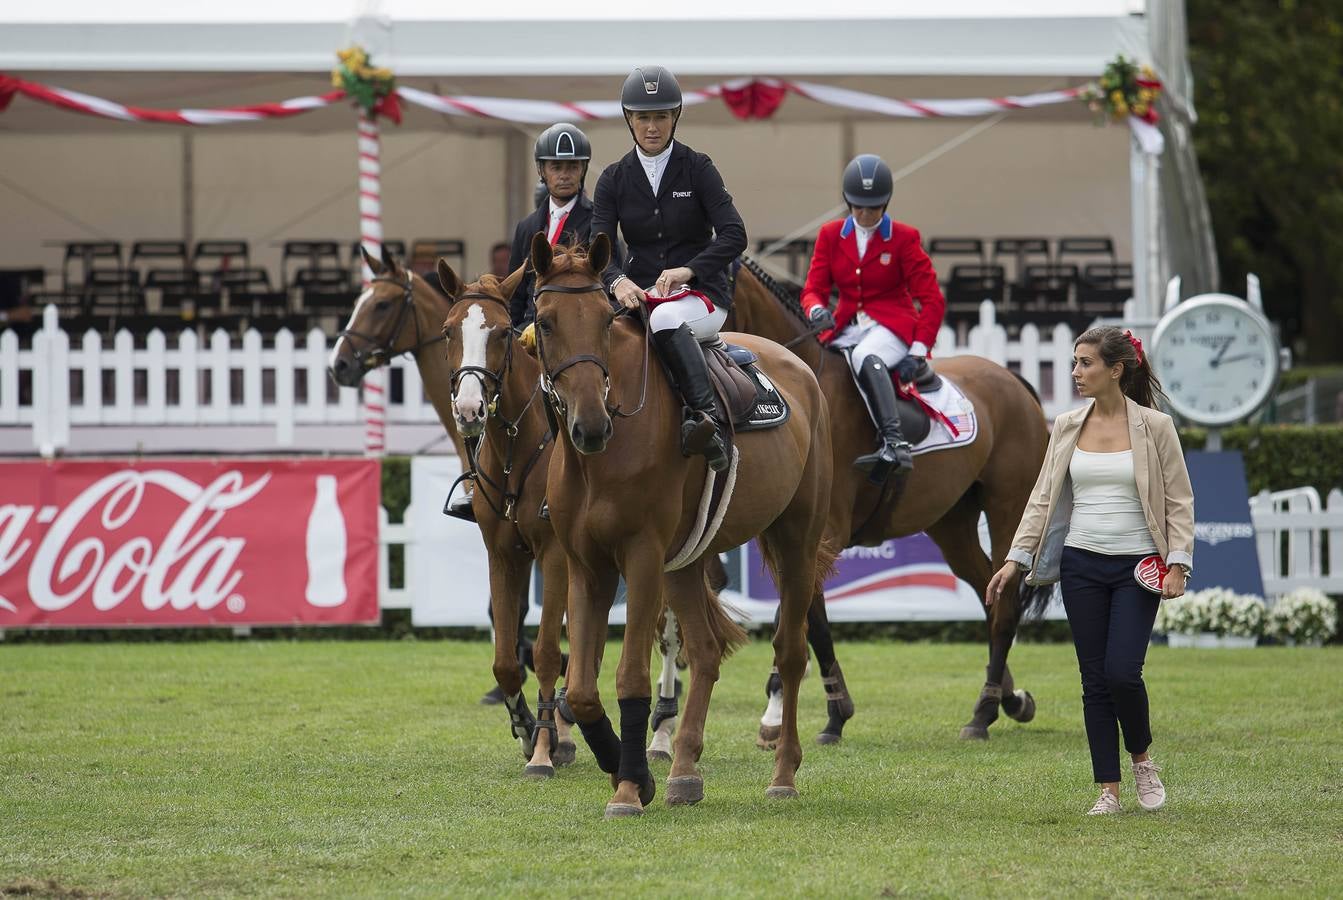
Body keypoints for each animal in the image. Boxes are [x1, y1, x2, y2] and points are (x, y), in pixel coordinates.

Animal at [327, 248, 574, 773]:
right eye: (448, 331)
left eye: (381, 306)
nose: (340, 364)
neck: (514, 445)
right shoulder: (502, 552)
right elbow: (505, 652)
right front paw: (525, 724)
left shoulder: (555, 554)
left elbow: (548, 646)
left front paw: (547, 743)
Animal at [529, 236, 832, 822]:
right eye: (546, 323)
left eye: (605, 320)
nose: (591, 426)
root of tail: (799, 367)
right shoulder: (587, 566)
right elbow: (580, 688)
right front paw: (630, 772)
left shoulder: (642, 556)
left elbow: (629, 675)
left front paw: (628, 789)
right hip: (687, 562)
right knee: (708, 651)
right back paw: (684, 770)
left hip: (795, 542)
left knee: (790, 652)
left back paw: (782, 773)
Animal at [730, 259, 1052, 741]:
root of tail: (1010, 377)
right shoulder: (789, 536)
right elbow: (803, 616)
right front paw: (804, 709)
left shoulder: (820, 536)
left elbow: (809, 620)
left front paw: (820, 712)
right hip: (952, 524)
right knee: (988, 593)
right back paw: (1008, 699)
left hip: (1008, 510)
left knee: (1006, 602)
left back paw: (982, 714)